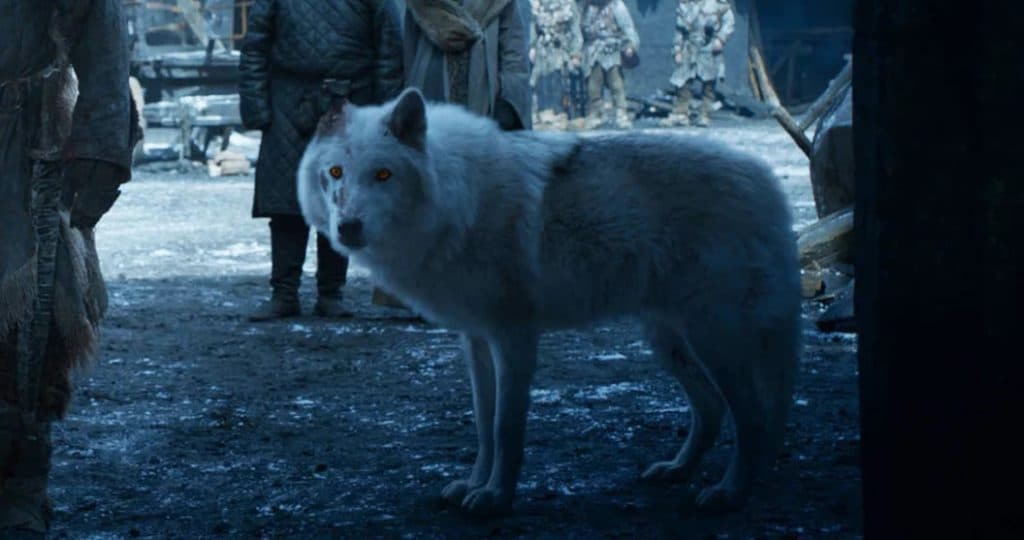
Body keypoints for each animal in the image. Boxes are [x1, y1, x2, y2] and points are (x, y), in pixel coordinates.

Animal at [297, 88, 801, 515]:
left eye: (383, 174)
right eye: (335, 173)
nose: (348, 227)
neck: (458, 200)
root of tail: (766, 180)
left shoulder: (515, 338)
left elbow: (506, 428)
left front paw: (496, 498)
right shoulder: (475, 340)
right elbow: (483, 424)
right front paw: (474, 484)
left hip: (713, 339)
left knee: (753, 417)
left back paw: (732, 491)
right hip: (668, 341)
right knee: (711, 409)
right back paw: (678, 470)